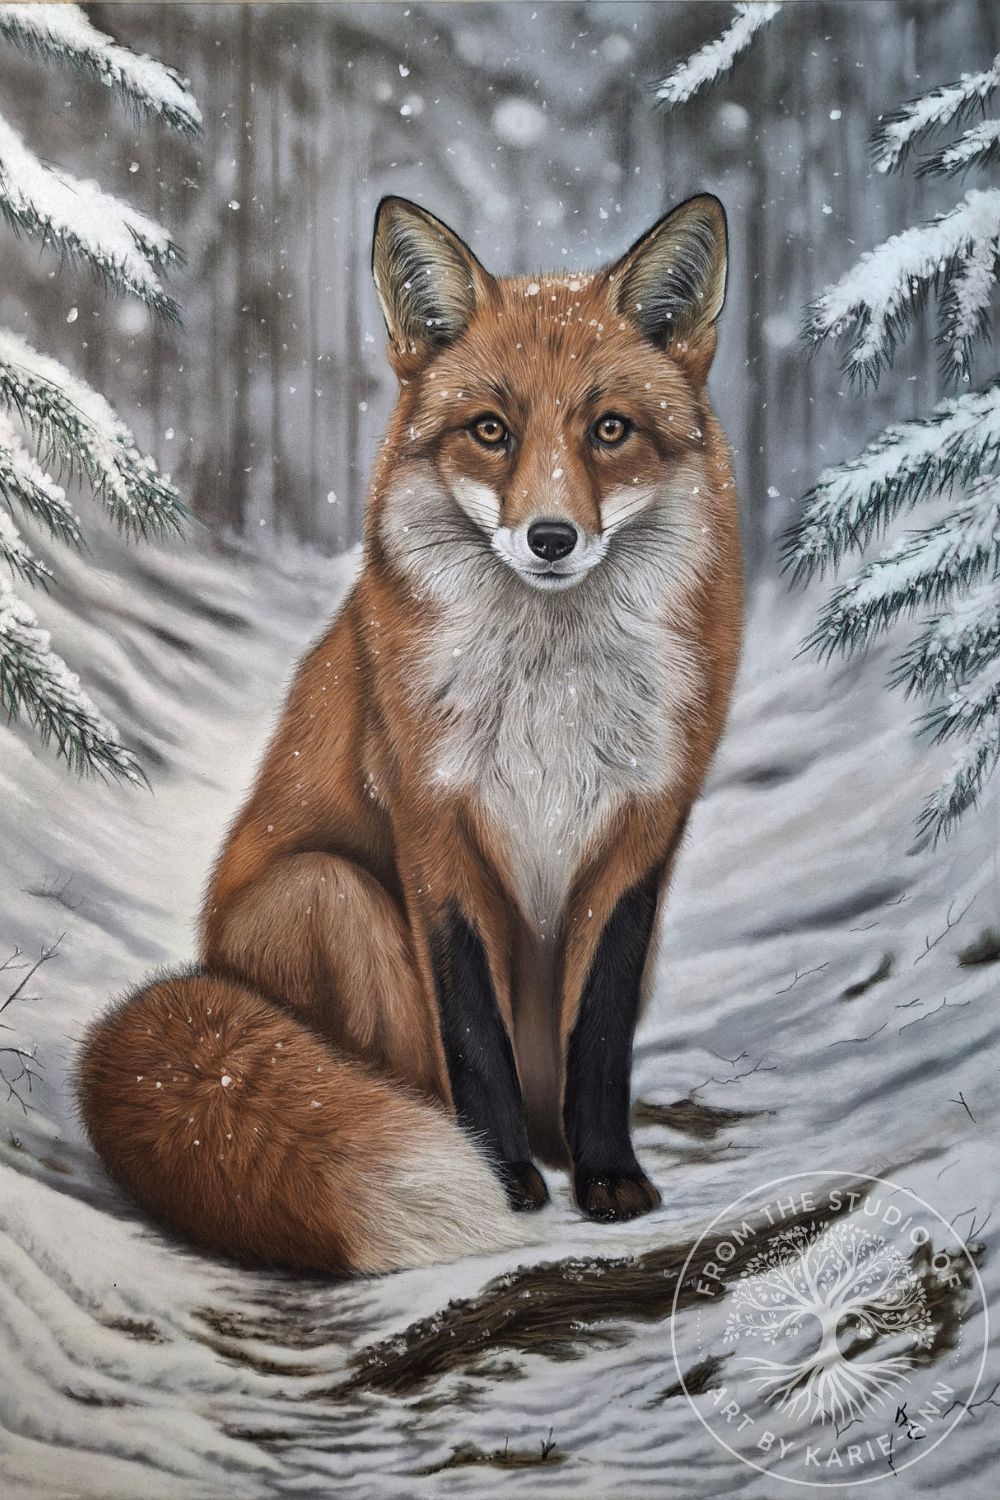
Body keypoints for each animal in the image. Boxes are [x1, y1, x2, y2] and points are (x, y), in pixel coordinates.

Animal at [78, 193, 742, 1275]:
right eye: (490, 430)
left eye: (610, 430)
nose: (550, 537)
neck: (551, 696)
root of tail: (206, 968)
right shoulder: (435, 824)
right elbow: (472, 1033)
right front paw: (505, 1182)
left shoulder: (644, 832)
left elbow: (599, 1037)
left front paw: (608, 1178)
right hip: (330, 893)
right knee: (400, 1073)